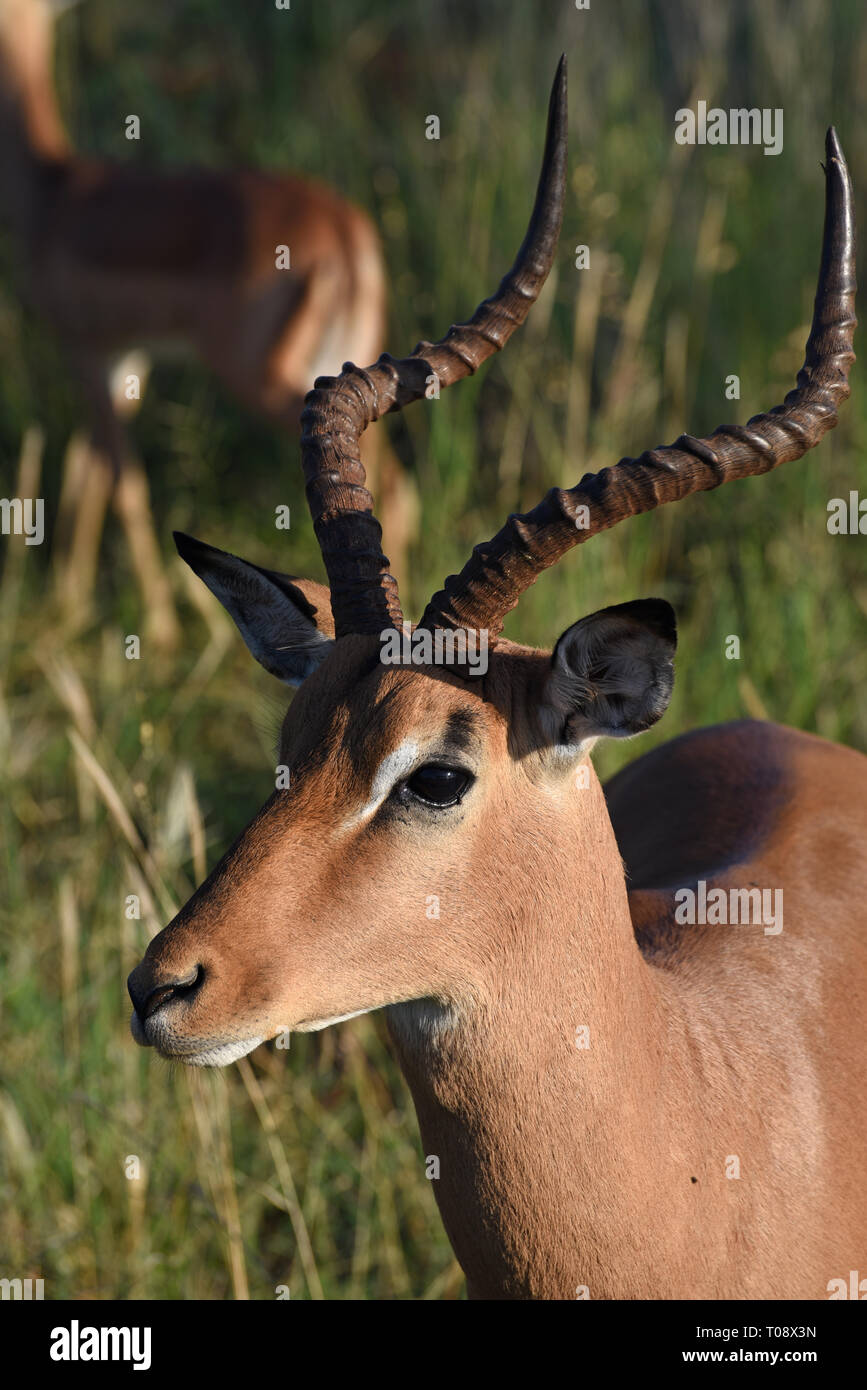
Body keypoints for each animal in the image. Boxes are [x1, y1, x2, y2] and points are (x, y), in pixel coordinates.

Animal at [0, 0, 414, 645]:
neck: (52, 195)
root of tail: (345, 227)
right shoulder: (126, 361)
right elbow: (87, 469)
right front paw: (70, 602)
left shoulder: (86, 351)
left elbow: (121, 480)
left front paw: (159, 629)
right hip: (342, 370)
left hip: (264, 376)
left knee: (394, 489)